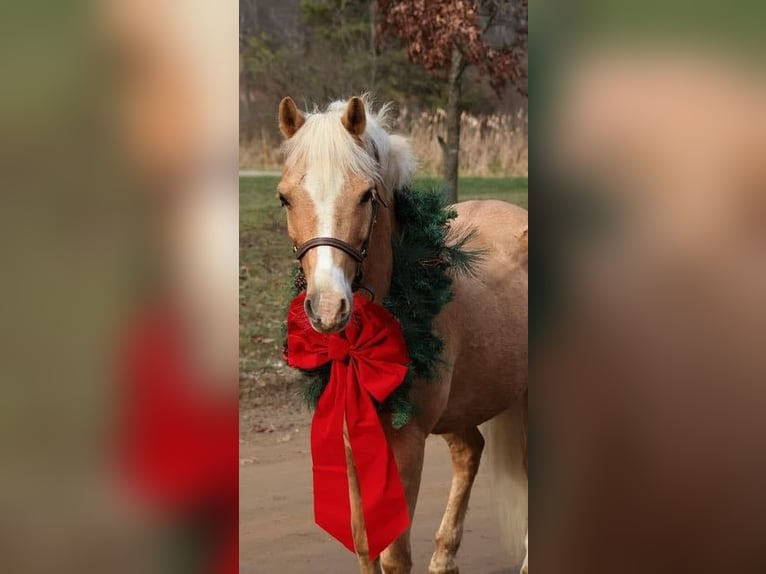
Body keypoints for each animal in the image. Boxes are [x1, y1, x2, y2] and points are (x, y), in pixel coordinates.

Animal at [276, 95, 528, 574]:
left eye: (366, 195)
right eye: (284, 198)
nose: (328, 307)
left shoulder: (407, 443)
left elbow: (394, 554)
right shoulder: (354, 442)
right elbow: (363, 542)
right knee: (470, 451)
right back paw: (444, 557)